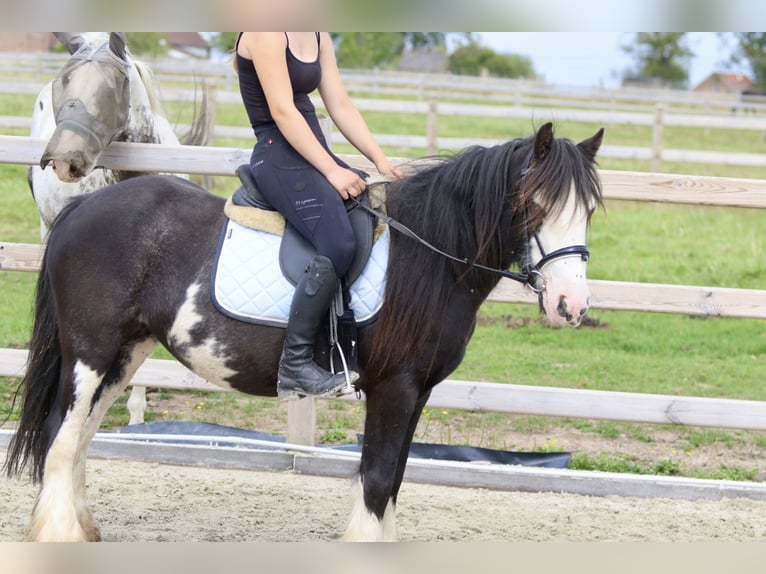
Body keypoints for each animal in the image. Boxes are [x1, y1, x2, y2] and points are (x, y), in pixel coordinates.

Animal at [4, 121, 608, 540]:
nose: (571, 305)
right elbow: (378, 479)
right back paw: (59, 535)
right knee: (62, 434)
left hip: (125, 352)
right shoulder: (395, 388)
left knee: (81, 437)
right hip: (91, 352)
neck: (428, 256)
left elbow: (393, 480)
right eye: (533, 204)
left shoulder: (416, 393)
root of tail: (83, 208)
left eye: (588, 211)